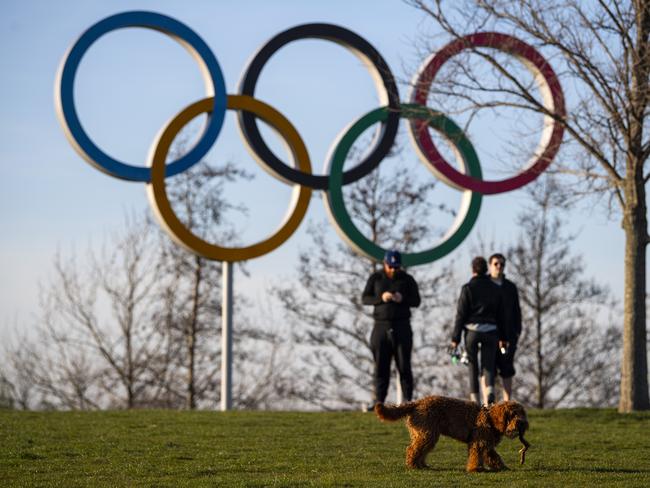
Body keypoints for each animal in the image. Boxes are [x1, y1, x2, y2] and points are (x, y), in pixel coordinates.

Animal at [374, 396, 528, 472]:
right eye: (513, 414)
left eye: (522, 412)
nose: (522, 423)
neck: (489, 417)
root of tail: (416, 403)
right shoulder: (479, 443)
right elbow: (476, 456)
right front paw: (475, 469)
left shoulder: (487, 445)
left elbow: (494, 457)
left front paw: (503, 468)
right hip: (427, 434)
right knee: (412, 449)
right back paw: (413, 465)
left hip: (428, 435)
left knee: (421, 451)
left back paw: (421, 465)